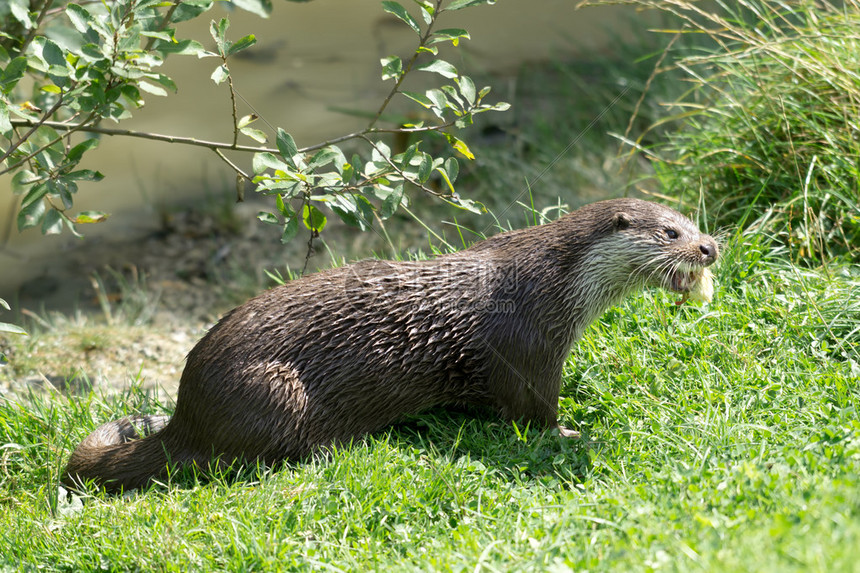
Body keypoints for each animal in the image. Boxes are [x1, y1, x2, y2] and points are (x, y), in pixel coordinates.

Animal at [63, 199, 716, 490]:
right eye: (671, 232)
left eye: (692, 222)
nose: (710, 247)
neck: (554, 283)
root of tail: (187, 415)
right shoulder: (526, 351)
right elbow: (533, 413)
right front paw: (571, 434)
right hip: (271, 389)